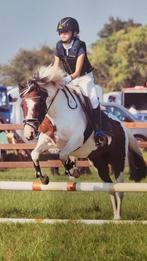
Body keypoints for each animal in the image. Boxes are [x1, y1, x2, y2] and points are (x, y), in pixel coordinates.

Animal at [18, 64, 147, 218]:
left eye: (38, 104)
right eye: (22, 106)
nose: (29, 134)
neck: (57, 114)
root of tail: (123, 126)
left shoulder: (76, 139)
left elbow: (62, 155)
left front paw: (73, 171)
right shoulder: (48, 141)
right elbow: (35, 154)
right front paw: (43, 178)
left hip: (118, 161)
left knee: (119, 189)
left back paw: (118, 217)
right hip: (99, 163)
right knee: (110, 188)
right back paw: (115, 218)